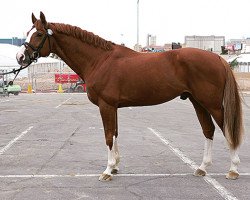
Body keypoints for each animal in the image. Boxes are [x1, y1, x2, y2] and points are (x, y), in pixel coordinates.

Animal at [16, 12, 243, 181]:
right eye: (28, 33)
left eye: (38, 34)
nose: (20, 57)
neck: (100, 60)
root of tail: (218, 58)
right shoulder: (113, 106)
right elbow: (115, 134)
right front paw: (115, 166)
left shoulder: (106, 105)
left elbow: (108, 136)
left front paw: (107, 171)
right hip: (198, 102)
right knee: (208, 130)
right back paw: (202, 168)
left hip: (213, 104)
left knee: (226, 130)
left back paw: (233, 169)